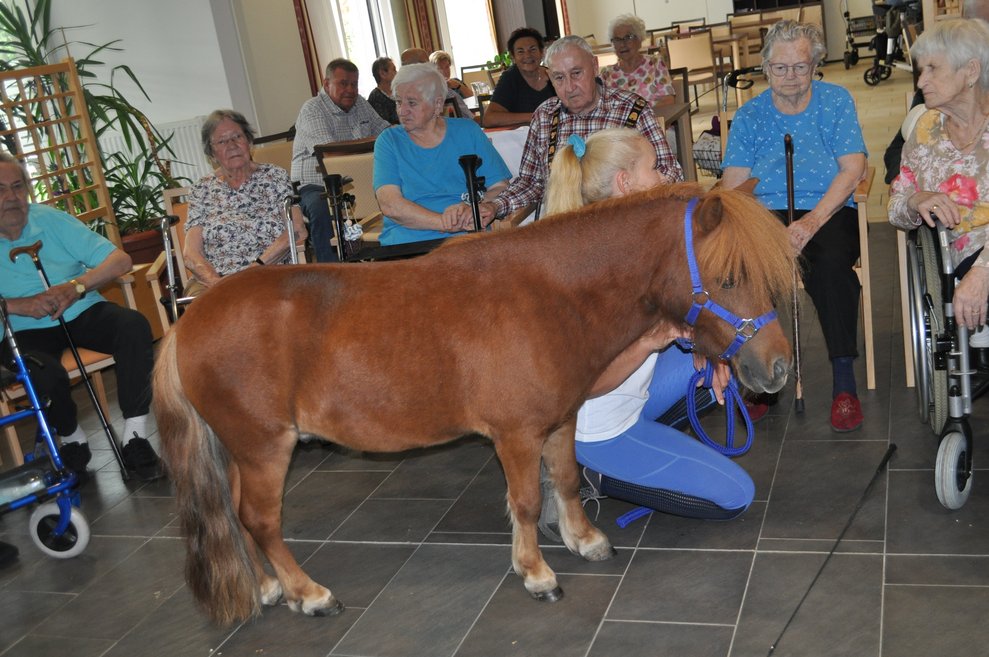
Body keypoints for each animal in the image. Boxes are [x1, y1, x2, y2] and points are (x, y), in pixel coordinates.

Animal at [153, 183, 796, 625]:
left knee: (238, 512)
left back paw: (268, 588)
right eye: (730, 277)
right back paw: (307, 594)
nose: (776, 368)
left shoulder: (561, 421)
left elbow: (565, 480)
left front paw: (585, 540)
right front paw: (536, 573)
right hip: (265, 447)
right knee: (261, 519)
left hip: (245, 449)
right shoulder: (515, 434)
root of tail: (187, 322)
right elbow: (527, 501)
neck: (549, 293)